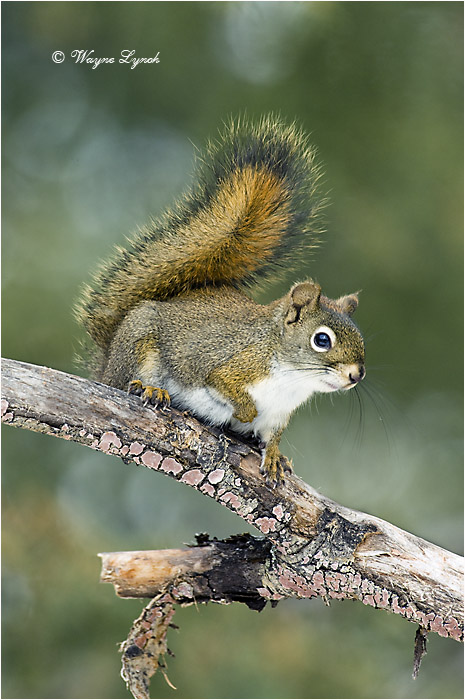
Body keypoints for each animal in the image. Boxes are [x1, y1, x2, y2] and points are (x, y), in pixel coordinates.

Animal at [76, 115, 365, 487]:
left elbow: (272, 436)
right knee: (126, 379)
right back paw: (148, 389)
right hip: (139, 341)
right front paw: (244, 412)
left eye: (361, 338)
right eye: (322, 340)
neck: (292, 379)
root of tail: (106, 361)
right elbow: (226, 387)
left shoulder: (279, 415)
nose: (356, 375)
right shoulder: (230, 367)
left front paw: (274, 455)